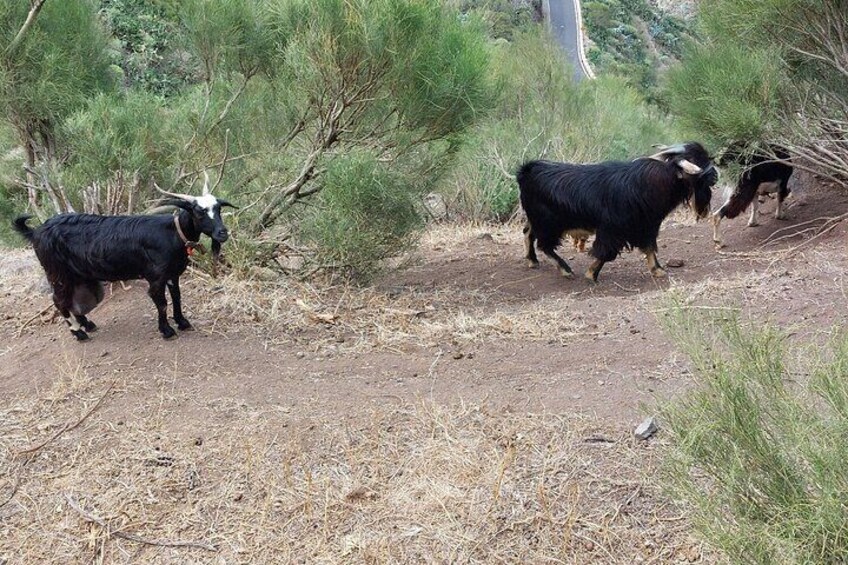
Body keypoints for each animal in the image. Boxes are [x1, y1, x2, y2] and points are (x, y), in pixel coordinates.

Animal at [13, 173, 237, 340]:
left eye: (218, 208)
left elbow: (177, 297)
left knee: (70, 300)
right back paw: (79, 334)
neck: (173, 232)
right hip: (57, 272)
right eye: (199, 211)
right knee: (59, 301)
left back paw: (88, 325)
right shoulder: (156, 277)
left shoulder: (172, 274)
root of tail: (37, 231)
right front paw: (166, 330)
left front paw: (182, 322)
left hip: (75, 274)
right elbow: (162, 303)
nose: (222, 233)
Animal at [516, 141, 716, 282]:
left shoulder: (647, 226)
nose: (716, 175)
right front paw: (591, 274)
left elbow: (650, 247)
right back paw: (565, 270)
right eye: (698, 162)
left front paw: (658, 270)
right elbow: (606, 252)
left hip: (537, 219)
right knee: (545, 245)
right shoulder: (612, 230)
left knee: (528, 233)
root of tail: (527, 170)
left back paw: (532, 261)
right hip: (549, 223)